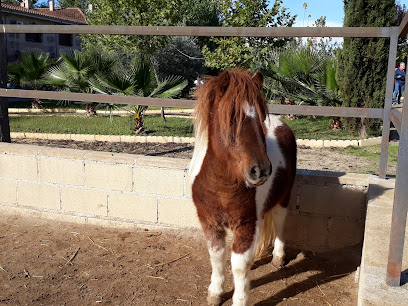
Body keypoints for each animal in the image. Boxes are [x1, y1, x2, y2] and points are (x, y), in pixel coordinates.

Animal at [190, 69, 298, 306]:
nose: (261, 170)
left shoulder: (246, 224)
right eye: (231, 118)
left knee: (280, 223)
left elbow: (239, 265)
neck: (221, 185)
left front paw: (239, 299)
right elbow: (217, 257)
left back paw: (278, 258)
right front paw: (215, 293)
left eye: (260, 116)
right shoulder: (210, 223)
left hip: (283, 198)